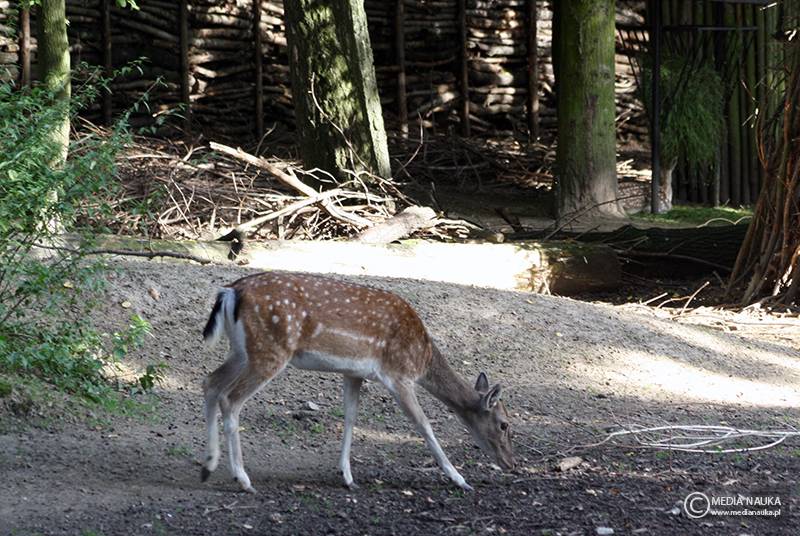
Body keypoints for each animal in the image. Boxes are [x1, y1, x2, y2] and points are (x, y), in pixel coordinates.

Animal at [198, 272, 512, 494]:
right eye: (504, 424)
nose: (512, 462)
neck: (423, 359)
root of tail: (230, 292)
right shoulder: (399, 375)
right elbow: (424, 425)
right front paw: (460, 479)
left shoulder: (354, 373)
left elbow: (350, 417)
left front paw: (347, 477)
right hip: (270, 350)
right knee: (230, 398)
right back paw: (242, 479)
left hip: (242, 351)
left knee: (210, 383)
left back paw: (208, 466)